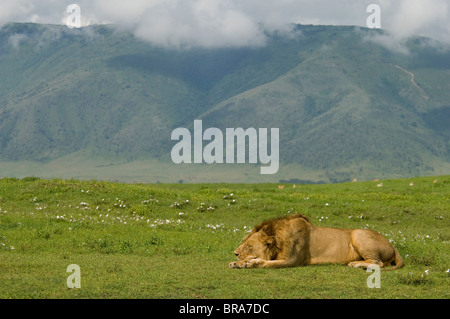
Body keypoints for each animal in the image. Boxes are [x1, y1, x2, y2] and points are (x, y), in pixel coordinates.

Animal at [229, 214, 404, 272]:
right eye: (244, 242)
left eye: (248, 245)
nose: (235, 253)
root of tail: (393, 245)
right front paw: (237, 263)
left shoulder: (294, 260)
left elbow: (269, 264)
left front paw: (251, 263)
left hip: (358, 233)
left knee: (378, 263)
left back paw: (355, 264)